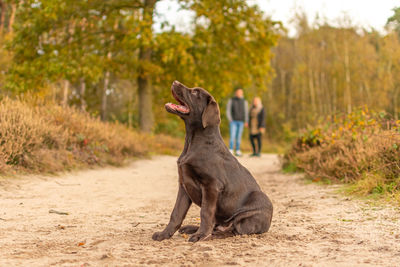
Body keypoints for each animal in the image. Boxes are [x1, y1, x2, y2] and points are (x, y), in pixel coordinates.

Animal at [152, 81, 274, 243]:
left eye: (195, 93)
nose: (175, 82)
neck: (193, 141)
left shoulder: (211, 186)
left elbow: (205, 213)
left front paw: (200, 235)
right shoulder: (184, 185)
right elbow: (176, 214)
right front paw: (164, 234)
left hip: (252, 209)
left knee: (234, 230)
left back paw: (211, 234)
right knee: (218, 226)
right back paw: (191, 228)